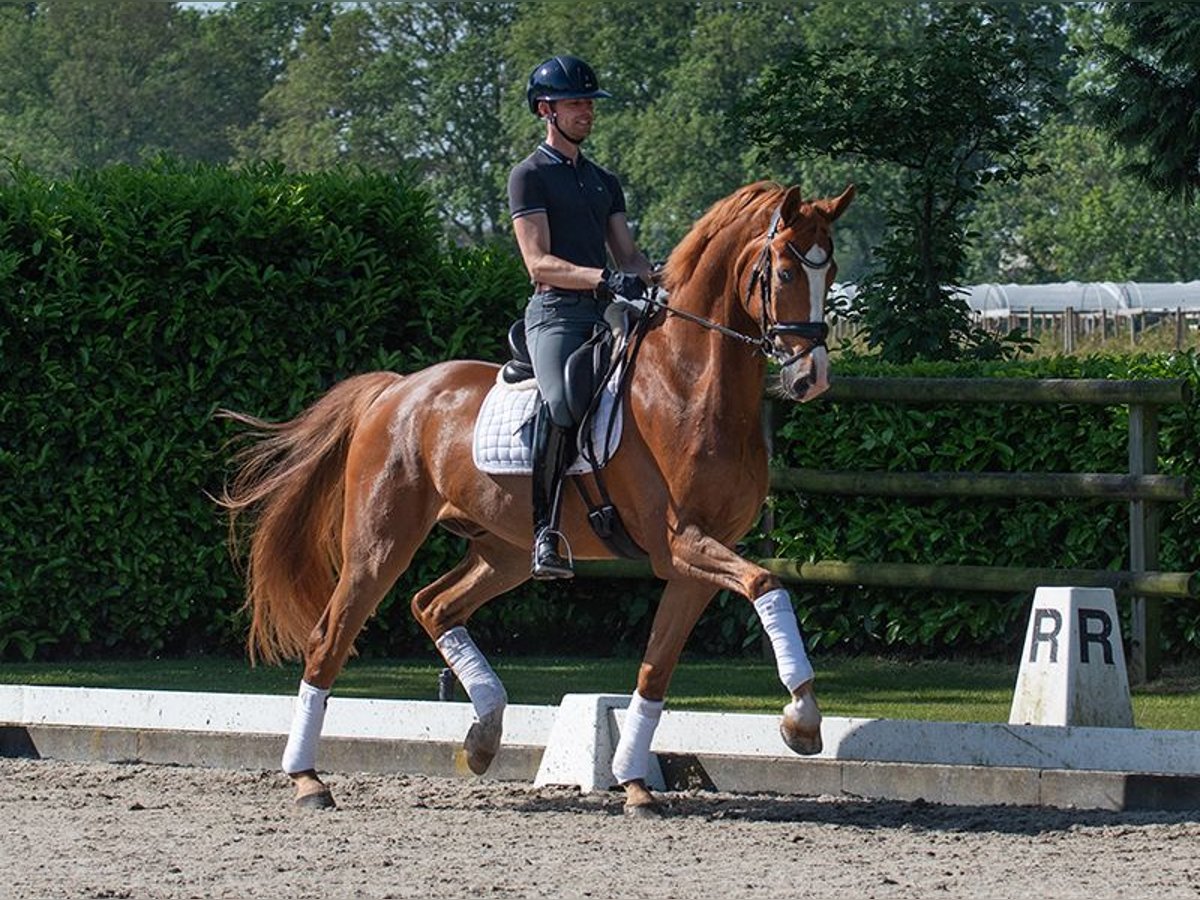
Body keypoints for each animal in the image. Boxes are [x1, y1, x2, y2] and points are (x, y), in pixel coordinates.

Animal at [218, 180, 854, 816]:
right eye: (785, 271)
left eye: (831, 270)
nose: (811, 378)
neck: (689, 386)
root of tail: (397, 389)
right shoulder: (680, 542)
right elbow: (767, 583)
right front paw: (802, 719)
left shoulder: (693, 562)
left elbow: (657, 669)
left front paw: (635, 782)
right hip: (380, 545)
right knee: (331, 637)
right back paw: (308, 779)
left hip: (502, 550)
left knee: (434, 605)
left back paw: (483, 735)